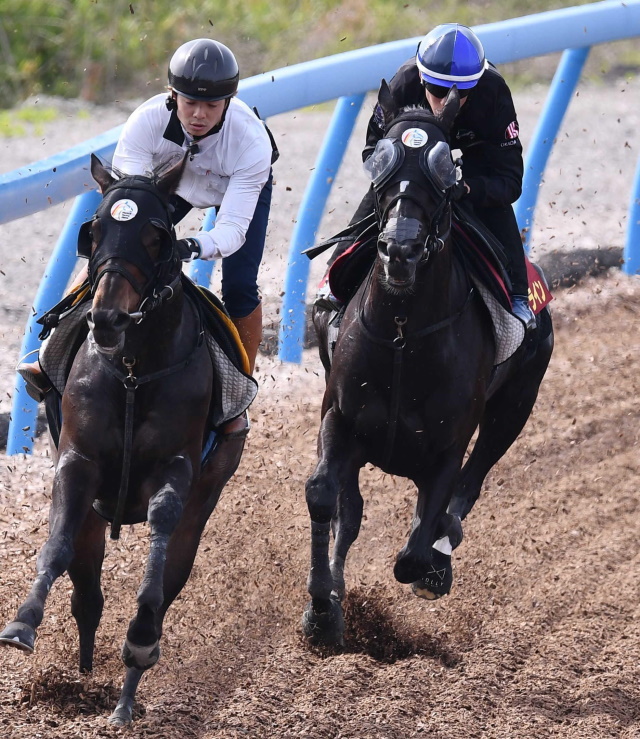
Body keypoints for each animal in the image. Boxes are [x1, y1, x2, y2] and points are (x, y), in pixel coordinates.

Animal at [0, 153, 250, 724]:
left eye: (157, 236)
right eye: (93, 230)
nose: (108, 317)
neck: (135, 368)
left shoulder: (177, 469)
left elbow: (159, 550)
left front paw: (136, 643)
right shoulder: (78, 461)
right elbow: (57, 547)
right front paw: (22, 623)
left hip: (207, 494)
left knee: (169, 578)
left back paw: (126, 694)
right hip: (96, 512)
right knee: (87, 592)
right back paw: (85, 673)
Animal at [302, 82, 552, 648]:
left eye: (444, 175)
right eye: (381, 163)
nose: (400, 247)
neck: (403, 334)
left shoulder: (447, 447)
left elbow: (413, 552)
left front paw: (434, 563)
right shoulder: (339, 419)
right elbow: (325, 497)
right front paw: (323, 610)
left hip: (516, 404)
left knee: (471, 483)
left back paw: (444, 545)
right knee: (351, 512)